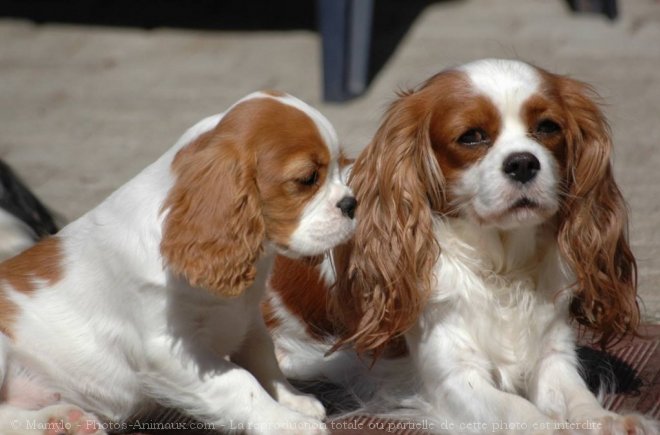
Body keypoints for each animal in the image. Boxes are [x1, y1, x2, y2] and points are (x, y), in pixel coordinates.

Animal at [0, 90, 356, 434]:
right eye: (308, 178)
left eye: (341, 168)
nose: (352, 204)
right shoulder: (169, 350)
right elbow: (240, 382)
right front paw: (285, 421)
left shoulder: (248, 317)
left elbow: (263, 356)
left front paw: (292, 399)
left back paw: (63, 421)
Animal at [266, 59, 656, 434]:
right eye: (471, 137)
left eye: (548, 128)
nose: (523, 162)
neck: (501, 267)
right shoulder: (455, 377)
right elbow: (519, 412)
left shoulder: (552, 354)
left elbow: (578, 397)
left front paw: (612, 421)